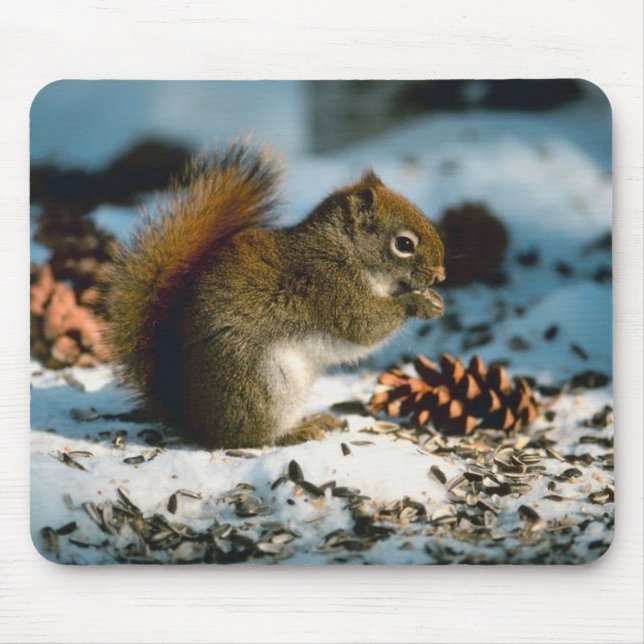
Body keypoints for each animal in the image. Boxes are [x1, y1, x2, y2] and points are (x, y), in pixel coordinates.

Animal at [102, 142, 446, 449]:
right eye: (404, 244)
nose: (441, 275)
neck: (346, 252)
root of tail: (195, 423)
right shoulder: (331, 288)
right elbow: (366, 326)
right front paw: (419, 302)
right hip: (261, 386)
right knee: (252, 437)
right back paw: (295, 432)